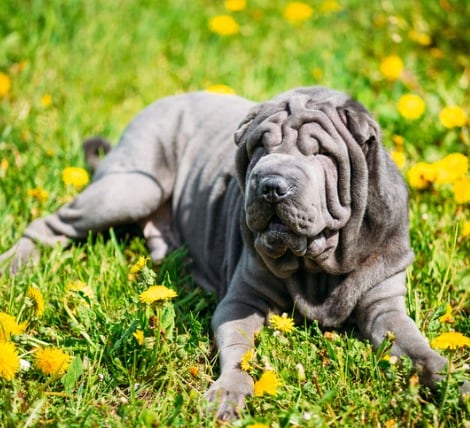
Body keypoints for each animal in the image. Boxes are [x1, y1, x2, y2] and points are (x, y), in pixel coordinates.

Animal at [1, 86, 468, 418]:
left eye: (319, 153)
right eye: (260, 147)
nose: (271, 185)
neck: (317, 262)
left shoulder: (384, 303)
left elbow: (416, 346)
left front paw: (452, 382)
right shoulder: (243, 299)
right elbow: (240, 352)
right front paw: (229, 393)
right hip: (133, 184)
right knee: (50, 225)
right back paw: (14, 264)